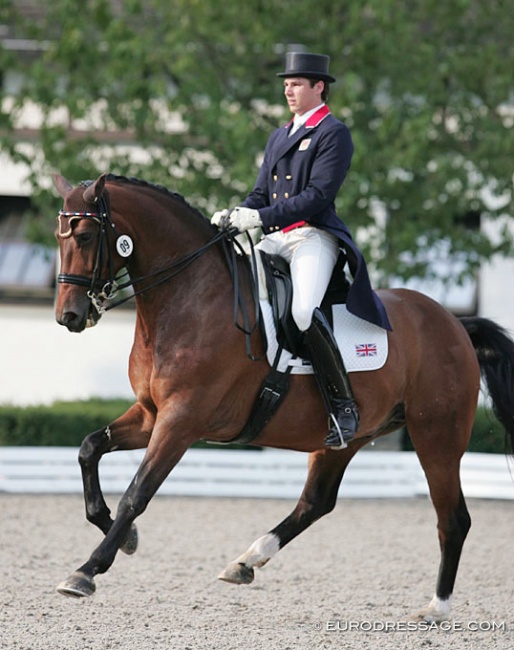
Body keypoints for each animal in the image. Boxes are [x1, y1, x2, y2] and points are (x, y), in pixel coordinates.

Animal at [53, 171, 512, 616]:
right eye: (59, 237)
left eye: (86, 236)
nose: (69, 316)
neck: (190, 297)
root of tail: (454, 322)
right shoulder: (152, 413)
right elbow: (89, 448)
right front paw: (125, 536)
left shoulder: (181, 420)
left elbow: (137, 492)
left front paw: (87, 570)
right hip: (344, 439)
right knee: (316, 502)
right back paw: (247, 560)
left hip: (437, 436)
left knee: (453, 518)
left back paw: (437, 607)